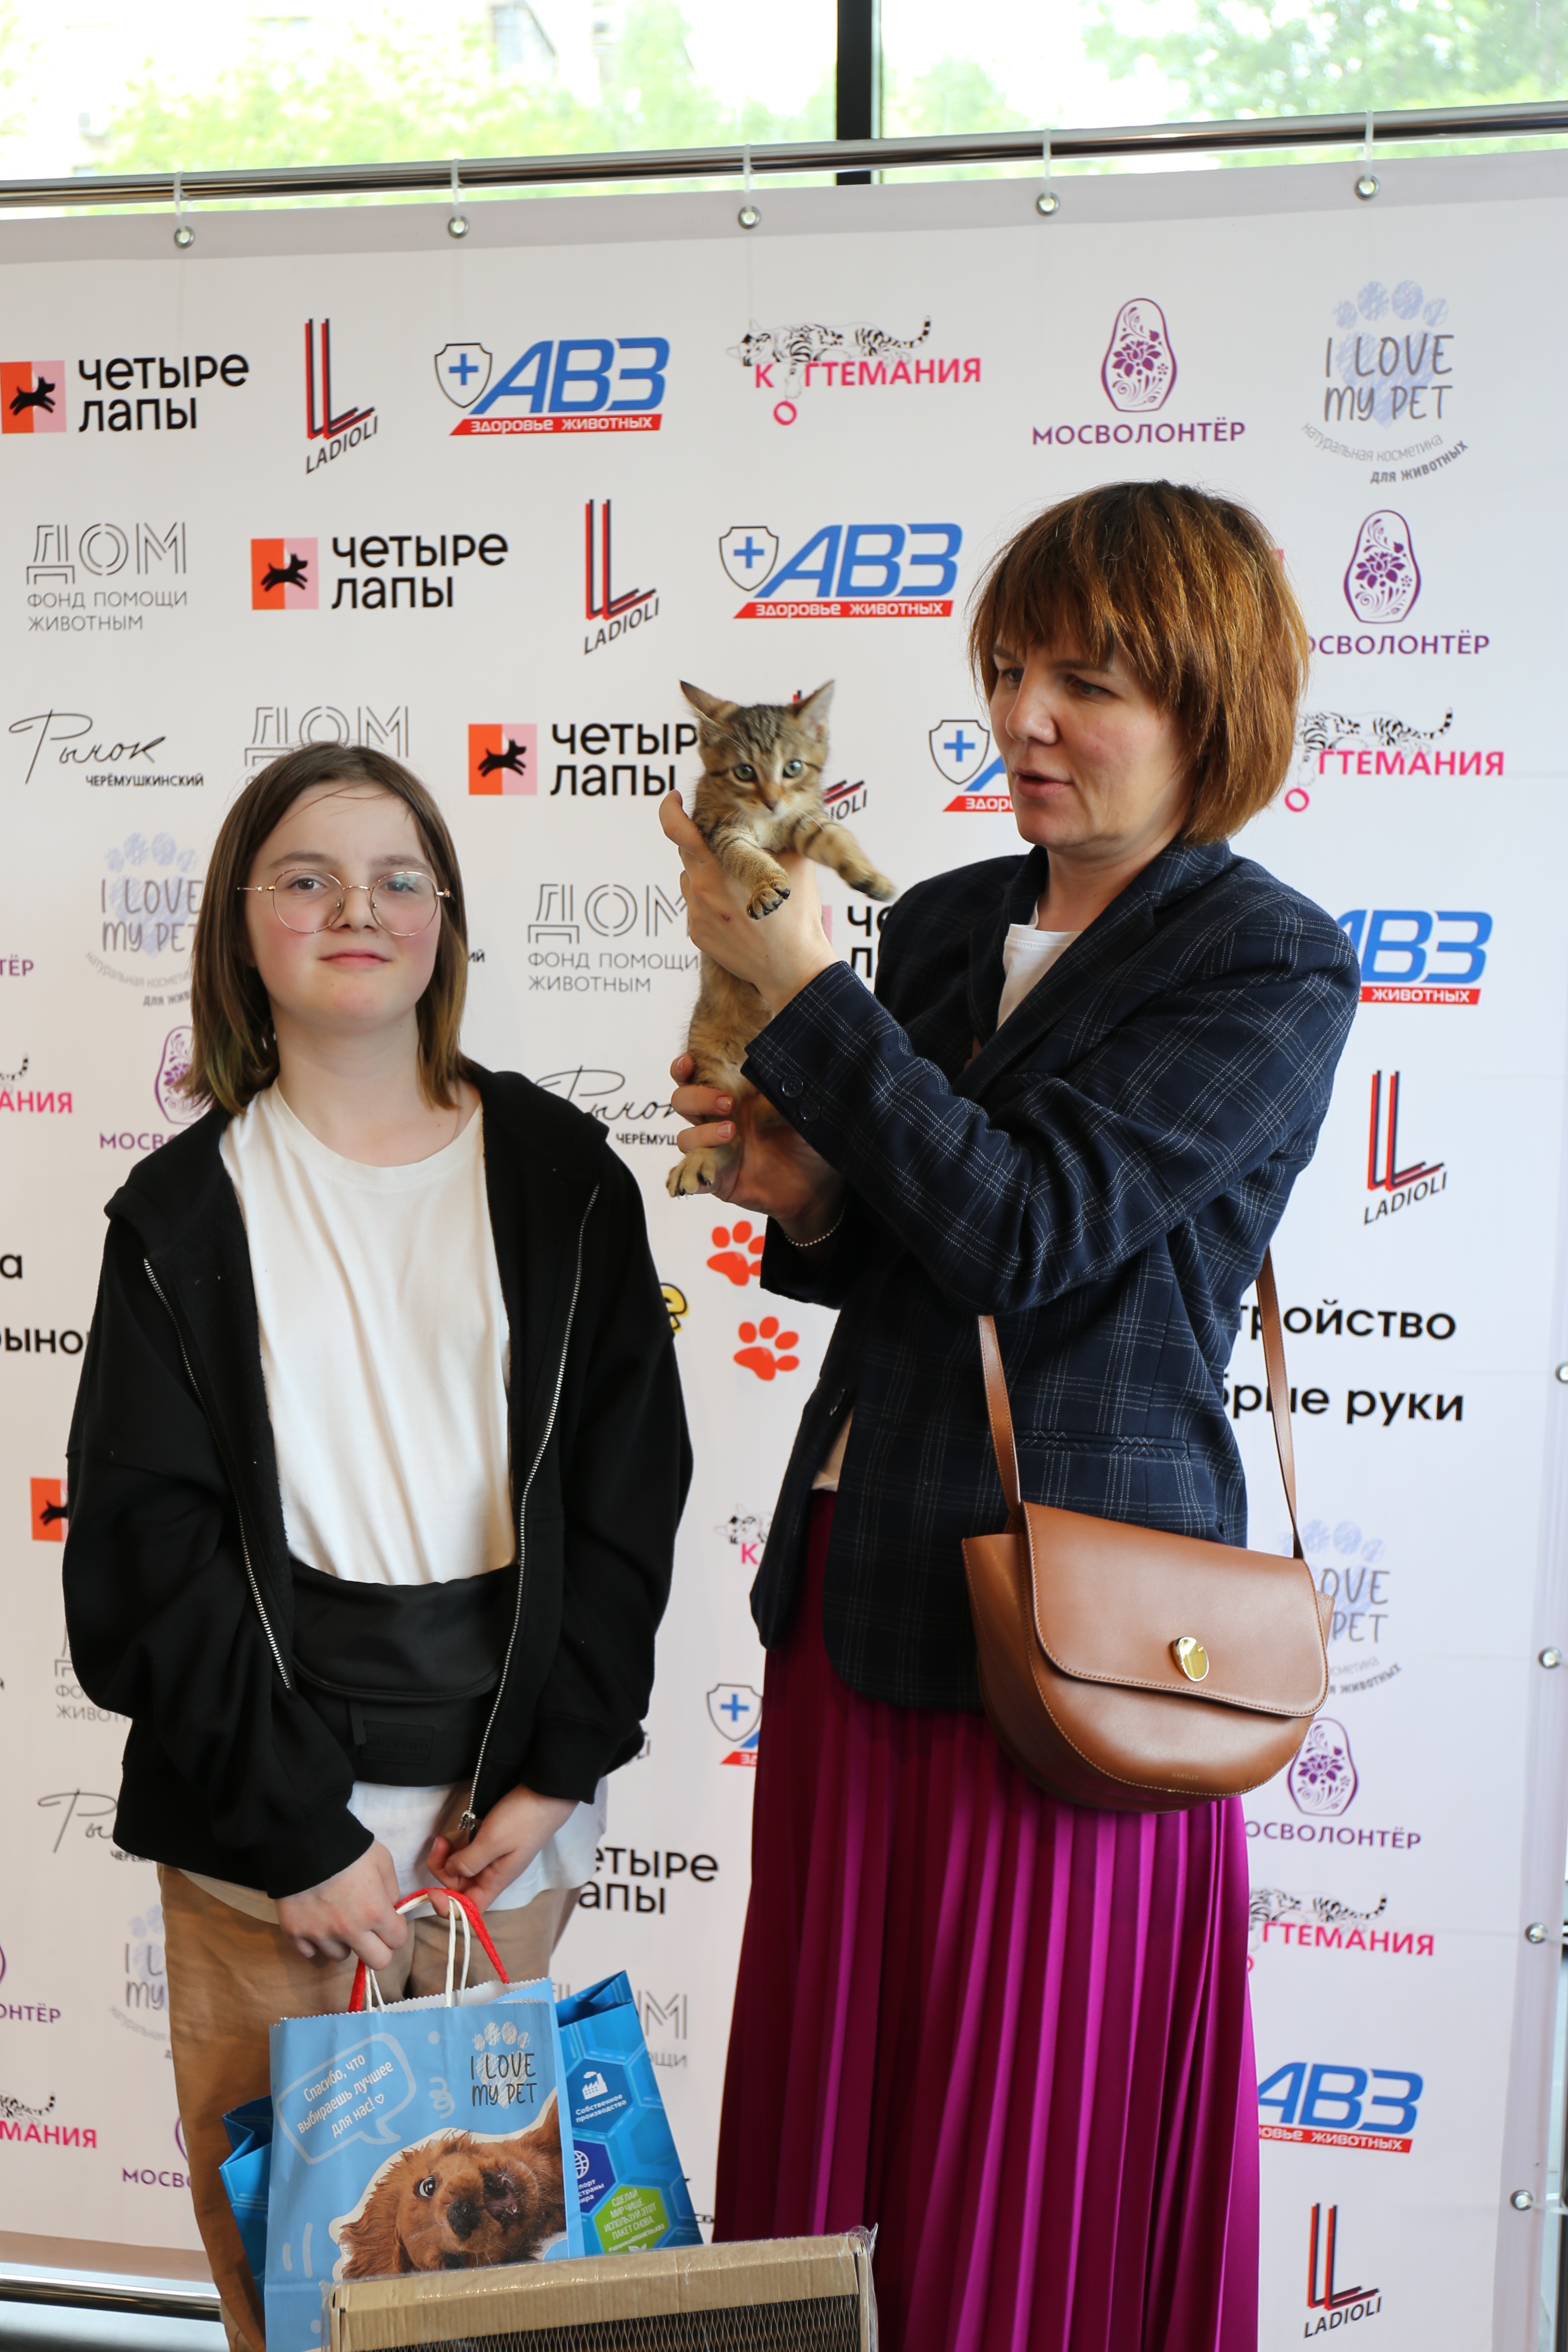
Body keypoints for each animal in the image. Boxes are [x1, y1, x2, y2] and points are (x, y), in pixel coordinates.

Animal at [667, 680, 895, 1200]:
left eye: (793, 768)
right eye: (744, 771)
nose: (772, 801)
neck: (768, 822)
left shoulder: (804, 822)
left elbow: (836, 835)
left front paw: (870, 875)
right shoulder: (721, 832)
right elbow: (747, 856)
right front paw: (766, 884)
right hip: (710, 1068)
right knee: (725, 1133)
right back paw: (699, 1160)